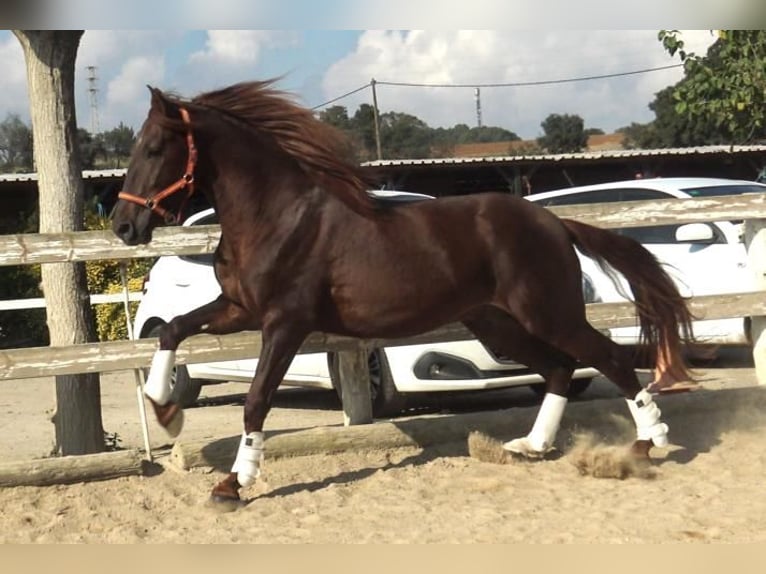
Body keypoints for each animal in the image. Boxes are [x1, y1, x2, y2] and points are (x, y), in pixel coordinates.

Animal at [112, 80, 696, 504]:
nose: (122, 225)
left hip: (548, 313)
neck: (277, 216)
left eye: (156, 147)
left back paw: (649, 444)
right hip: (498, 323)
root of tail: (554, 222)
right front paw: (164, 409)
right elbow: (171, 330)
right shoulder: (239, 309)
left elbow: (256, 400)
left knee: (609, 357)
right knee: (558, 368)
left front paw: (233, 484)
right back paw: (530, 445)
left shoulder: (285, 322)